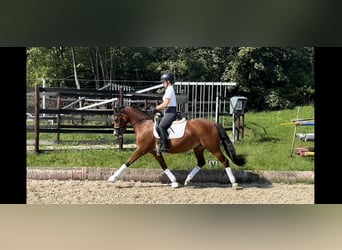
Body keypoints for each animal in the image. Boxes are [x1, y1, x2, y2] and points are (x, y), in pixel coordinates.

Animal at [107, 106, 246, 188]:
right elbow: (164, 166)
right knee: (201, 162)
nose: (115, 133)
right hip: (198, 148)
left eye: (116, 118)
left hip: (213, 148)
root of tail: (213, 123)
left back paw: (234, 183)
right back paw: (187, 180)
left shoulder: (141, 149)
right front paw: (174, 181)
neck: (143, 125)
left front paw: (112, 178)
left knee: (224, 161)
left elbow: (128, 162)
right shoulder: (154, 152)